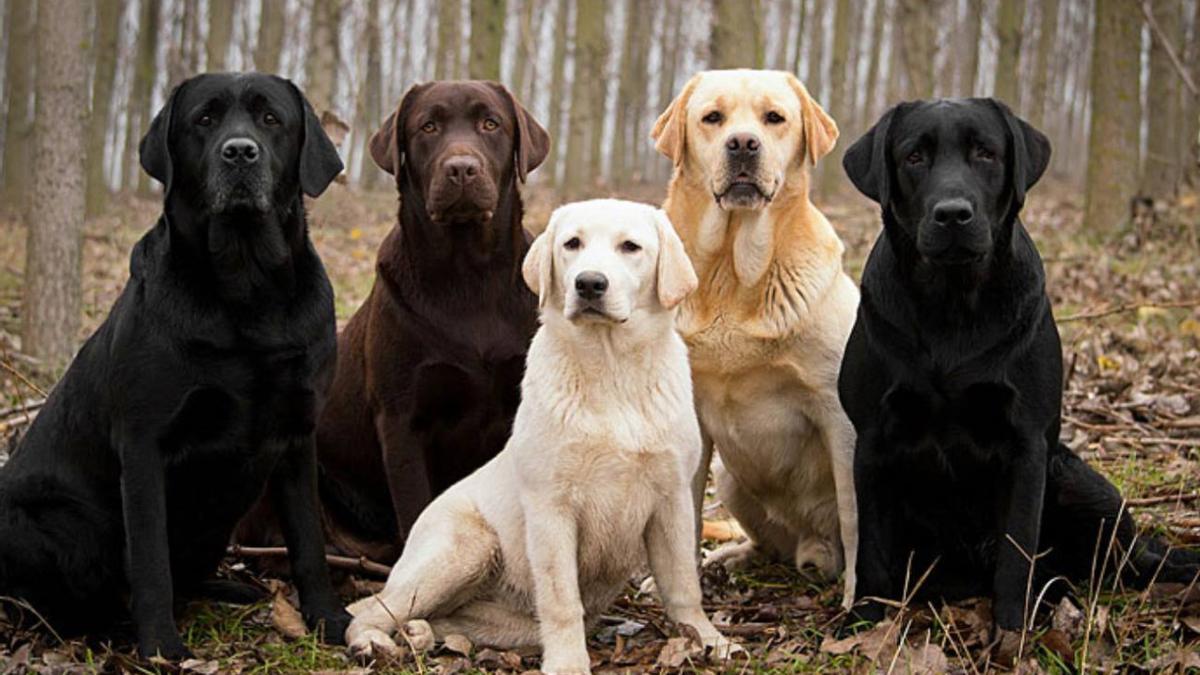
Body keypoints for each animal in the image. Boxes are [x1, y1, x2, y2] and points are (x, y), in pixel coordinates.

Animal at [348, 198, 734, 672]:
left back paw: (419, 634)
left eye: (630, 246)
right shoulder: (552, 509)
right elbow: (561, 598)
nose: (589, 284)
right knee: (371, 608)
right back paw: (371, 643)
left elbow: (682, 585)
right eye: (572, 244)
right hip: (467, 544)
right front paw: (568, 662)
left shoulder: (672, 498)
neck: (611, 371)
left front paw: (707, 639)